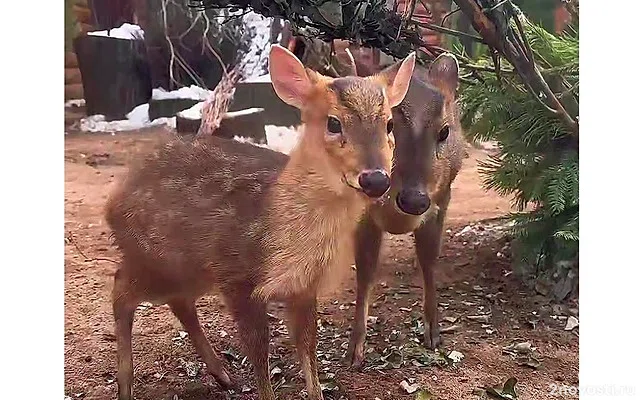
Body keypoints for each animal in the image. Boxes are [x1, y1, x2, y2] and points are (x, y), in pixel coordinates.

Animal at [105, 43, 416, 400]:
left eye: (389, 124)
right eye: (334, 123)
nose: (375, 179)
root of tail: (113, 202)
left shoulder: (303, 287)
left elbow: (307, 346)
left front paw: (316, 392)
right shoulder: (238, 276)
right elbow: (259, 353)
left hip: (188, 269)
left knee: (177, 301)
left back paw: (223, 376)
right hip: (158, 258)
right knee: (121, 291)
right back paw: (126, 385)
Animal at [338, 44, 468, 368]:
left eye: (445, 131)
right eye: (389, 126)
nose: (414, 199)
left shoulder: (441, 200)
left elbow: (429, 260)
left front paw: (433, 334)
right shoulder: (364, 214)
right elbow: (365, 270)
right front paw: (355, 350)